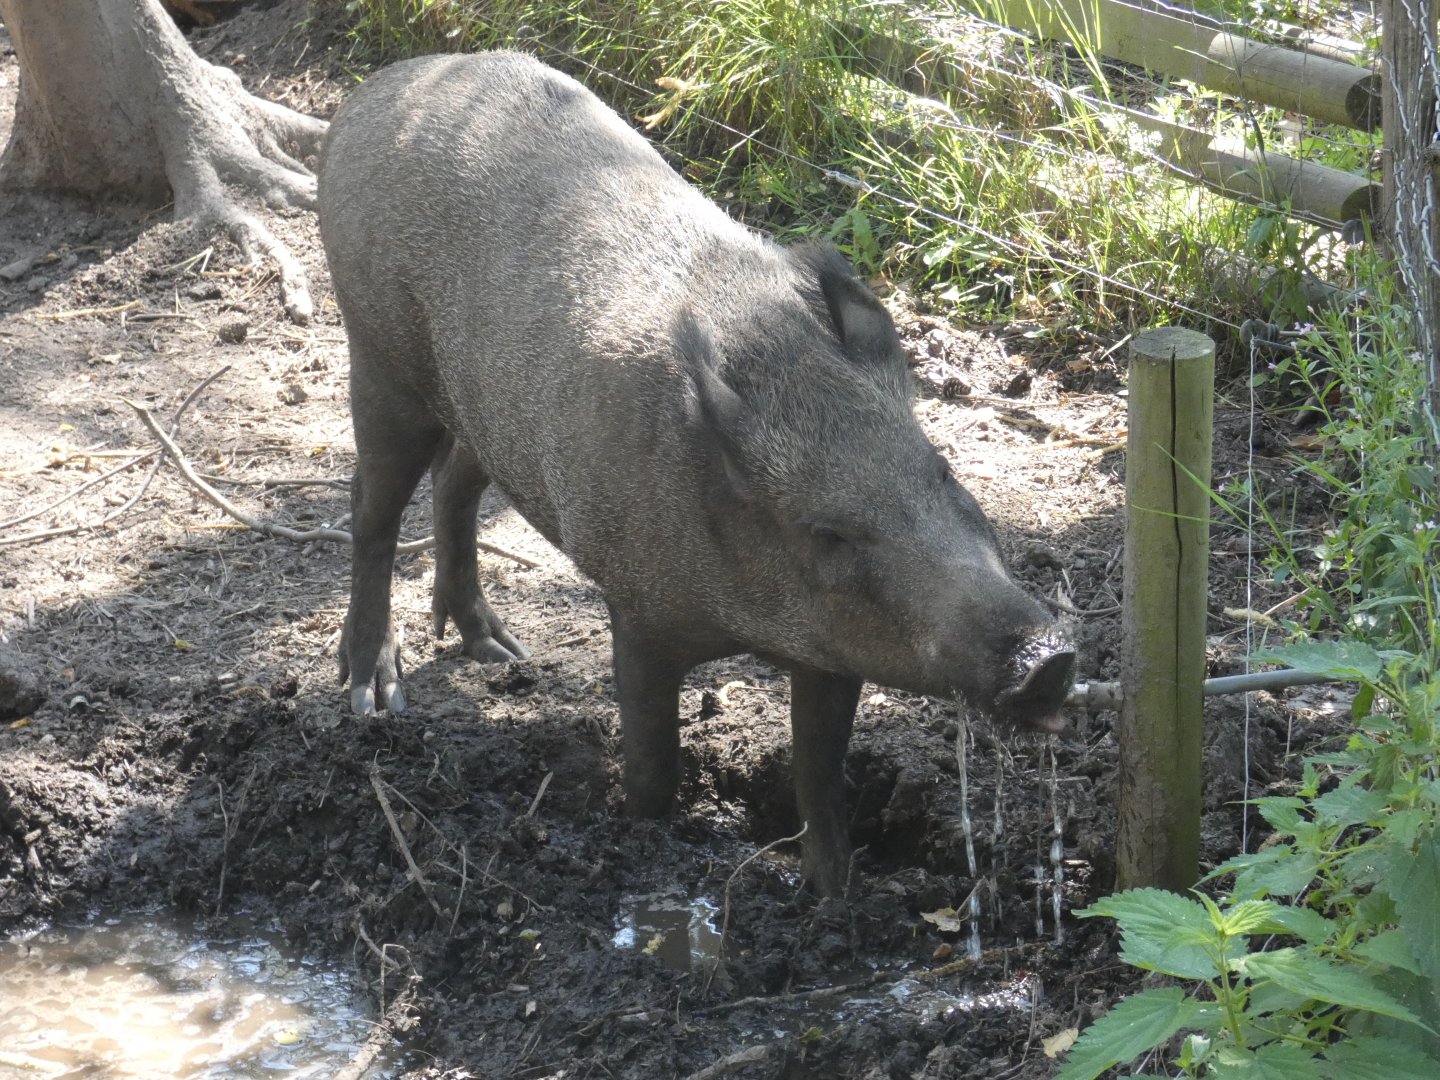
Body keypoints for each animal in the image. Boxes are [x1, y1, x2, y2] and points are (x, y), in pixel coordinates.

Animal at [318, 51, 1074, 897]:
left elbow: (819, 780)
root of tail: (378, 90)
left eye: (942, 471)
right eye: (829, 531)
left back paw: (500, 653)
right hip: (377, 349)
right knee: (373, 509)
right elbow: (656, 764)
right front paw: (645, 839)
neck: (746, 621)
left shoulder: (836, 650)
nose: (1049, 656)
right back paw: (375, 696)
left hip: (483, 399)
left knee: (457, 480)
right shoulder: (638, 607)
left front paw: (833, 895)